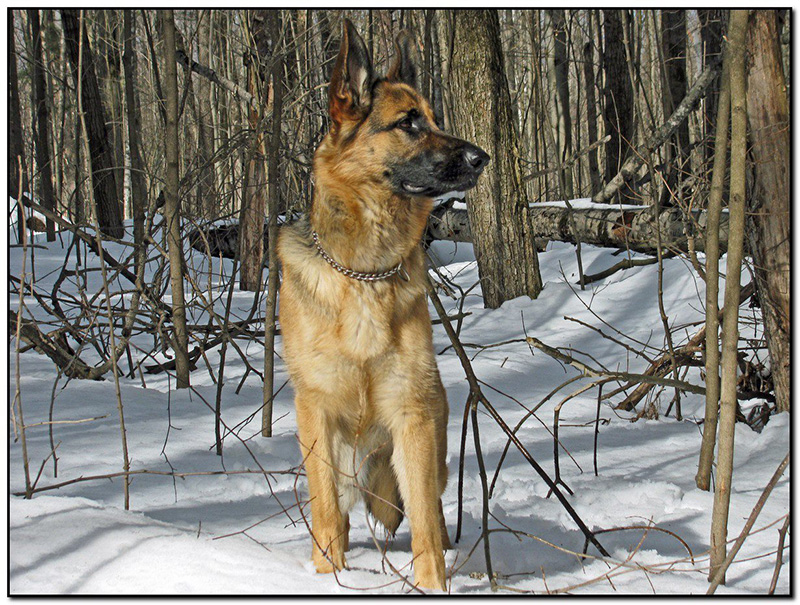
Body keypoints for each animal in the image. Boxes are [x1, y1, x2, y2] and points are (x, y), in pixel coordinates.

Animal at [276, 20, 488, 588]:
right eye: (408, 123)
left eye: (434, 118)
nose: (481, 157)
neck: (364, 273)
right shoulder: (317, 412)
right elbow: (326, 513)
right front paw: (326, 577)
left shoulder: (411, 412)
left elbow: (426, 527)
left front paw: (433, 585)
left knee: (422, 507)